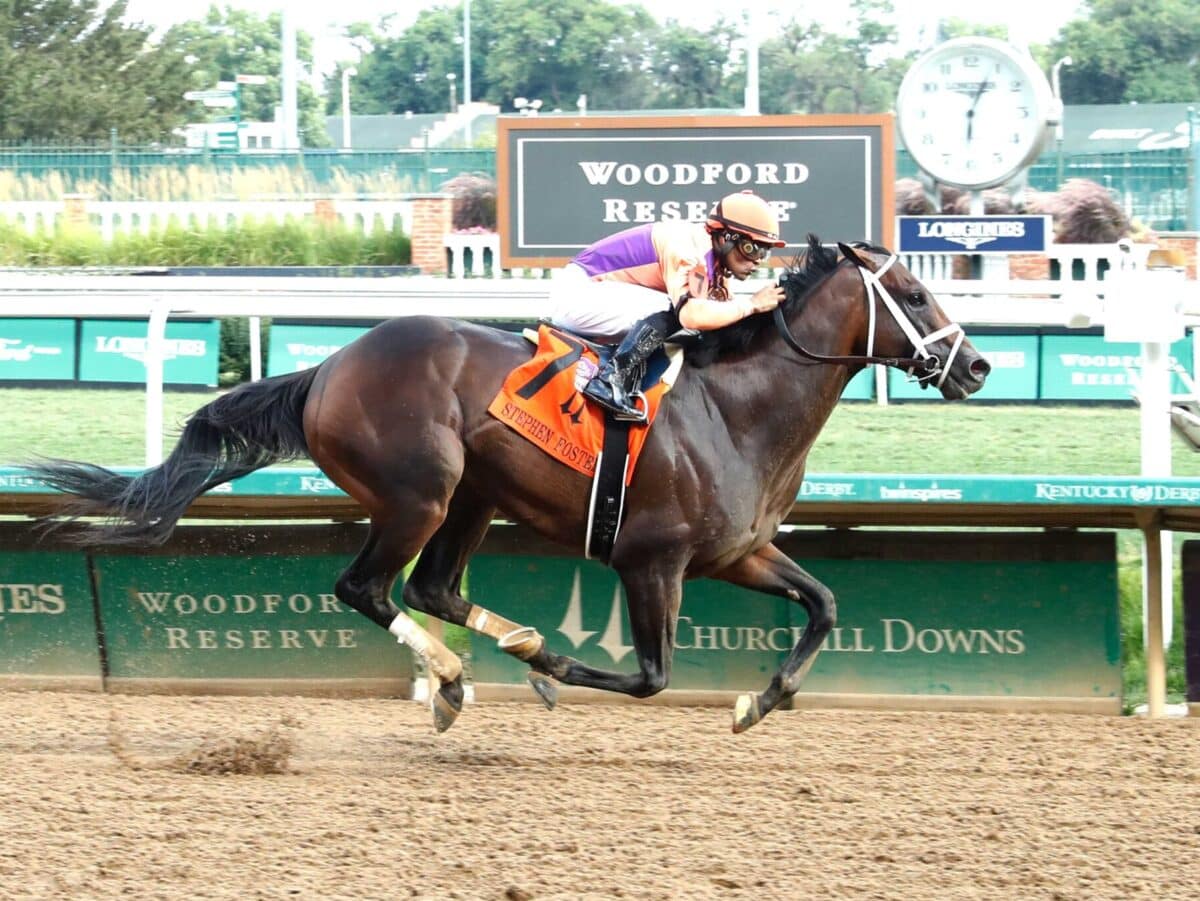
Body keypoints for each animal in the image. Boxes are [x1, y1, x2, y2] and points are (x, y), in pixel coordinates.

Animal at [23, 237, 988, 734]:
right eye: (912, 292)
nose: (977, 365)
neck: (735, 408)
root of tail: (329, 365)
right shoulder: (652, 561)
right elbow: (650, 677)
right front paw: (556, 673)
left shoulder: (738, 553)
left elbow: (824, 603)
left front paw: (762, 696)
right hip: (422, 490)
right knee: (368, 586)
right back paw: (458, 674)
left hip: (474, 497)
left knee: (434, 588)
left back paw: (497, 649)